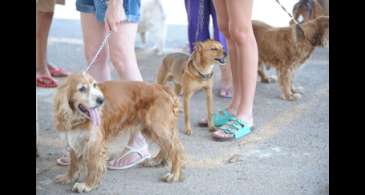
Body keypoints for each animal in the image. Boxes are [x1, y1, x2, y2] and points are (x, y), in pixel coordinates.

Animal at [52, 72, 183, 192]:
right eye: (82, 89)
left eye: (94, 85)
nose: (101, 100)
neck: (78, 118)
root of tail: (161, 87)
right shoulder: (74, 138)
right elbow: (73, 162)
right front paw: (68, 177)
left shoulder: (94, 142)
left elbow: (93, 165)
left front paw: (87, 184)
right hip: (150, 128)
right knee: (166, 146)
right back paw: (155, 161)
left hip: (157, 126)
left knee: (175, 149)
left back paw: (174, 174)